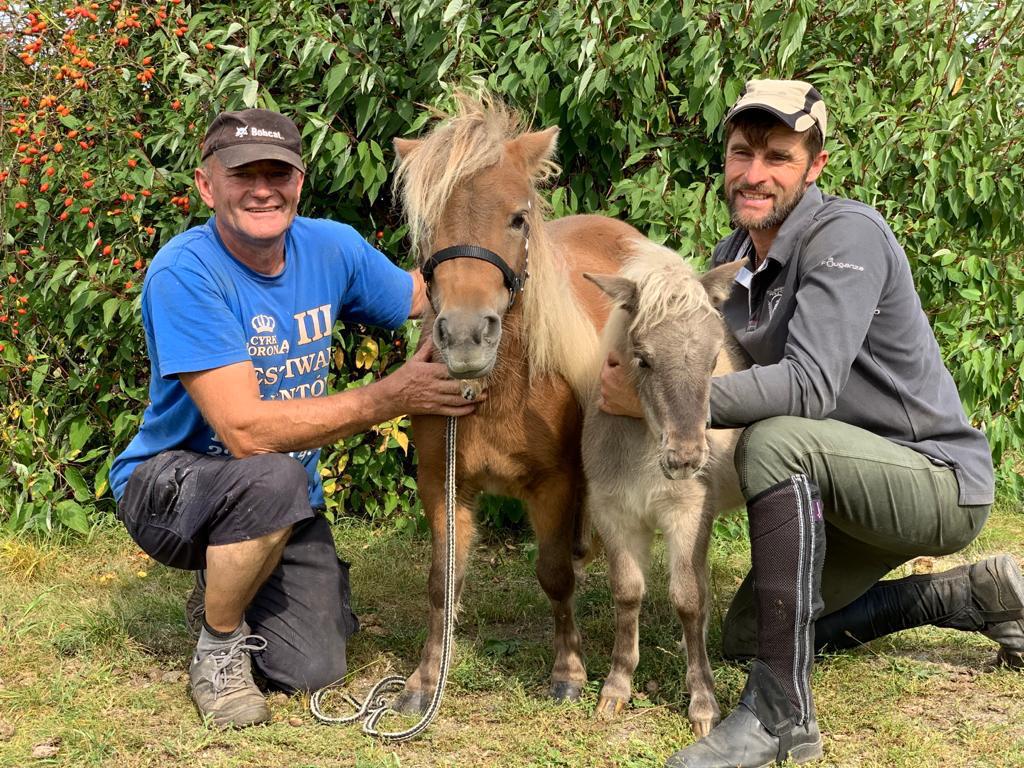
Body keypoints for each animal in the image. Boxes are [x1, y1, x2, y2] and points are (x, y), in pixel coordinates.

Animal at [391, 96, 647, 716]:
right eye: (428, 225)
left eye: (517, 218)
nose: (464, 337)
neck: (499, 393)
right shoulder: (443, 485)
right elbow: (442, 582)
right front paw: (424, 681)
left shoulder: (555, 485)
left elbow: (554, 575)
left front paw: (569, 672)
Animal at [585, 246, 745, 741]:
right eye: (643, 359)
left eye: (714, 360)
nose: (687, 457)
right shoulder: (614, 516)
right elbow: (628, 593)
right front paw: (616, 690)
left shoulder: (689, 516)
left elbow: (688, 599)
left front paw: (703, 703)